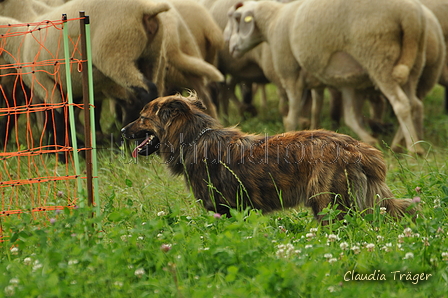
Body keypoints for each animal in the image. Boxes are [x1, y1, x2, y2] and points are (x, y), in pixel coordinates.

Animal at [121, 93, 414, 221]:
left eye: (142, 117)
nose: (123, 131)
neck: (195, 137)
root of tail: (359, 149)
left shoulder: (222, 210)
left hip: (328, 205)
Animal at [228, 0, 428, 154]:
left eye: (238, 19)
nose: (230, 47)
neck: (273, 21)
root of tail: (409, 14)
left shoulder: (290, 71)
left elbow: (292, 114)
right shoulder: (342, 81)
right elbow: (346, 115)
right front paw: (369, 140)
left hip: (377, 55)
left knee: (401, 104)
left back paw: (413, 150)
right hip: (414, 62)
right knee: (415, 103)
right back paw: (405, 144)